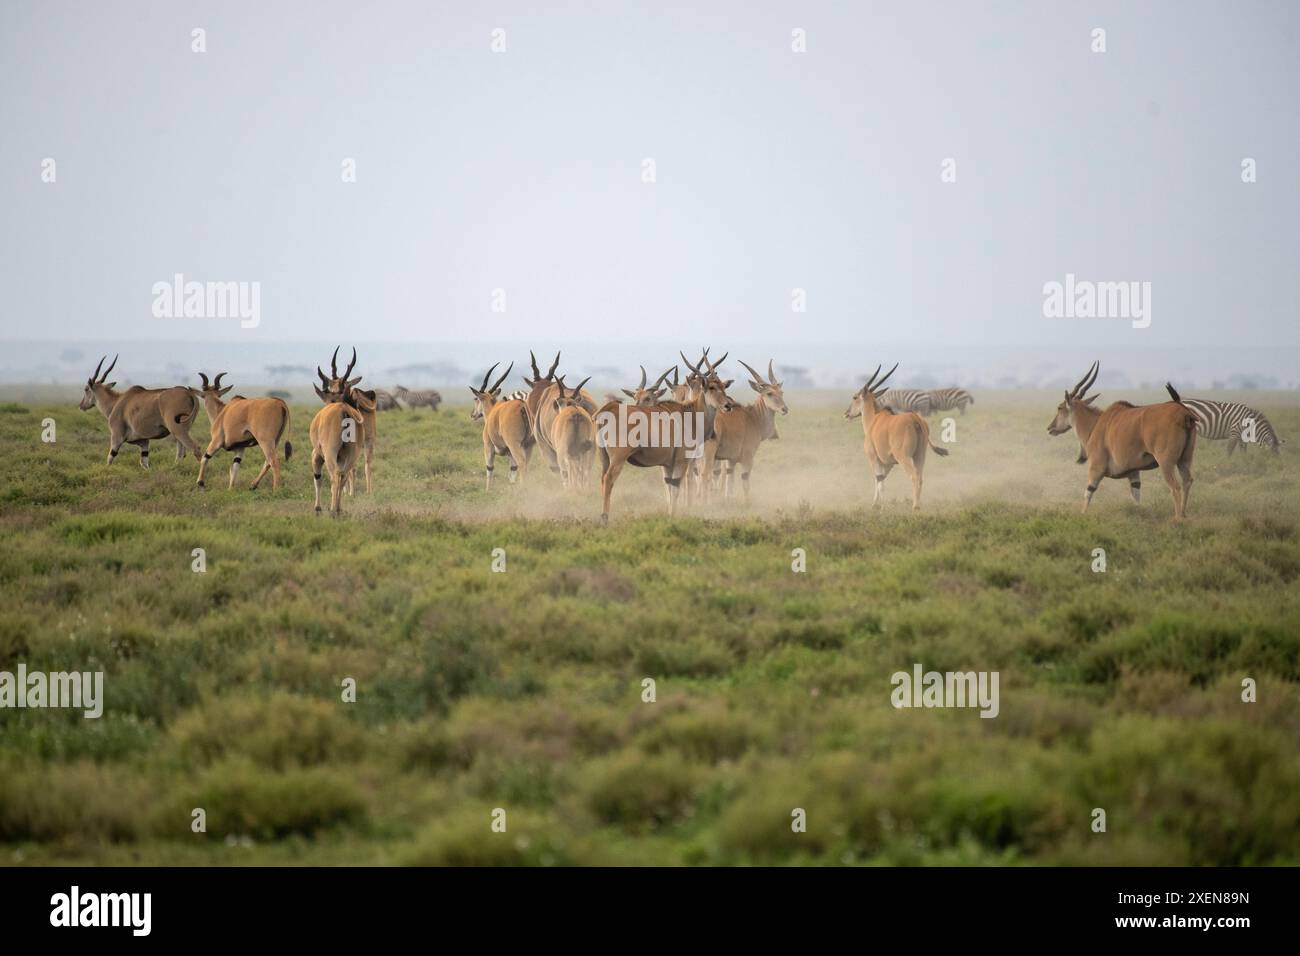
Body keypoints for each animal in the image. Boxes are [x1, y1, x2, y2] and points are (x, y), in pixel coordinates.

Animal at [470, 361, 530, 489]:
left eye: (476, 398)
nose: (473, 414)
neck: (494, 410)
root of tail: (521, 406)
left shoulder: (488, 447)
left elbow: (489, 469)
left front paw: (488, 490)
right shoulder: (510, 454)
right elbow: (512, 471)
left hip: (515, 445)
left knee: (522, 463)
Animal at [595, 348, 738, 522]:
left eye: (724, 387)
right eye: (710, 387)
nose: (728, 405)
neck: (690, 414)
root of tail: (607, 410)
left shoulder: (667, 465)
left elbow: (669, 487)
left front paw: (669, 514)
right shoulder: (681, 461)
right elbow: (675, 489)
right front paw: (673, 516)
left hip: (604, 458)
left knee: (602, 479)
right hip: (618, 458)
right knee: (608, 479)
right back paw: (604, 518)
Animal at [707, 358, 785, 504]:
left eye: (781, 392)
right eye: (769, 393)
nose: (785, 409)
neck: (752, 417)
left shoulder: (730, 460)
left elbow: (729, 484)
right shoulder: (747, 458)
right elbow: (744, 480)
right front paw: (746, 502)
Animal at [837, 361, 951, 512]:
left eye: (855, 397)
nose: (847, 413)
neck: (874, 419)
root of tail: (915, 419)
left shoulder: (874, 458)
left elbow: (879, 480)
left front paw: (880, 507)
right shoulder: (888, 463)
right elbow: (881, 480)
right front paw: (876, 505)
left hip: (904, 457)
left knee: (914, 476)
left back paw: (915, 506)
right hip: (919, 456)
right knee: (920, 477)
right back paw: (919, 504)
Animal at [1045, 361, 1196, 520]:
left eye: (1060, 407)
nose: (1050, 427)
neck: (1095, 424)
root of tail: (1184, 414)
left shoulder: (1096, 468)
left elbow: (1088, 493)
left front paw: (1082, 516)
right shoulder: (1133, 473)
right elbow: (1136, 498)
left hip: (1166, 463)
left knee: (1175, 486)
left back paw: (1178, 519)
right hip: (1184, 460)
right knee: (1187, 482)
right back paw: (1184, 515)